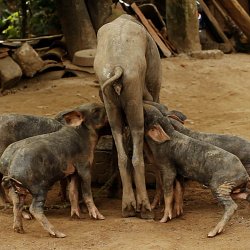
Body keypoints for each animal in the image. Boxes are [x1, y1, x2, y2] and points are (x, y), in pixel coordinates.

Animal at [0, 102, 108, 237]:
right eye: (96, 111)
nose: (106, 106)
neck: (85, 136)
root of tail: (11, 168)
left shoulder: (71, 172)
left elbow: (73, 191)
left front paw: (76, 216)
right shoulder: (84, 166)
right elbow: (87, 192)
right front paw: (99, 217)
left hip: (19, 188)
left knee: (17, 203)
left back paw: (19, 229)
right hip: (39, 187)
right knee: (34, 208)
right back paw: (59, 233)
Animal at [94, 13, 162, 218]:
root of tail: (117, 67)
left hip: (109, 89)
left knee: (118, 137)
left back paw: (128, 206)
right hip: (133, 82)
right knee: (137, 132)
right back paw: (145, 208)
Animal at [143, 104, 250, 237]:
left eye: (146, 114)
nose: (144, 104)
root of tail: (244, 175)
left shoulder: (167, 166)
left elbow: (168, 189)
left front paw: (163, 220)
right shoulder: (180, 170)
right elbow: (179, 188)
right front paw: (178, 212)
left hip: (219, 184)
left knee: (232, 206)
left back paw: (212, 233)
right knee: (244, 195)